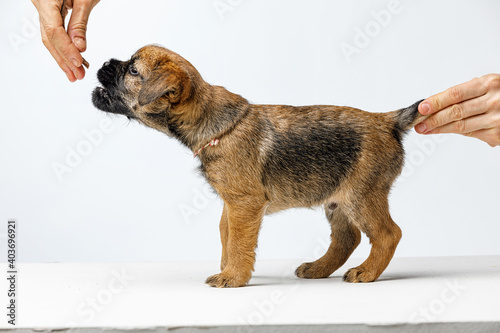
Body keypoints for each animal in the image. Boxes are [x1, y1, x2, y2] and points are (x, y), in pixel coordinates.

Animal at [93, 44, 426, 286]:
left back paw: (366, 272)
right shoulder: (232, 202)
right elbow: (226, 234)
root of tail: (387, 121)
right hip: (337, 198)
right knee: (348, 238)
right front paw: (228, 268)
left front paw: (233, 277)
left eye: (133, 70)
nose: (106, 62)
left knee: (388, 234)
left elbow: (239, 240)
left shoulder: (245, 202)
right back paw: (318, 268)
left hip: (361, 196)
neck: (211, 122)